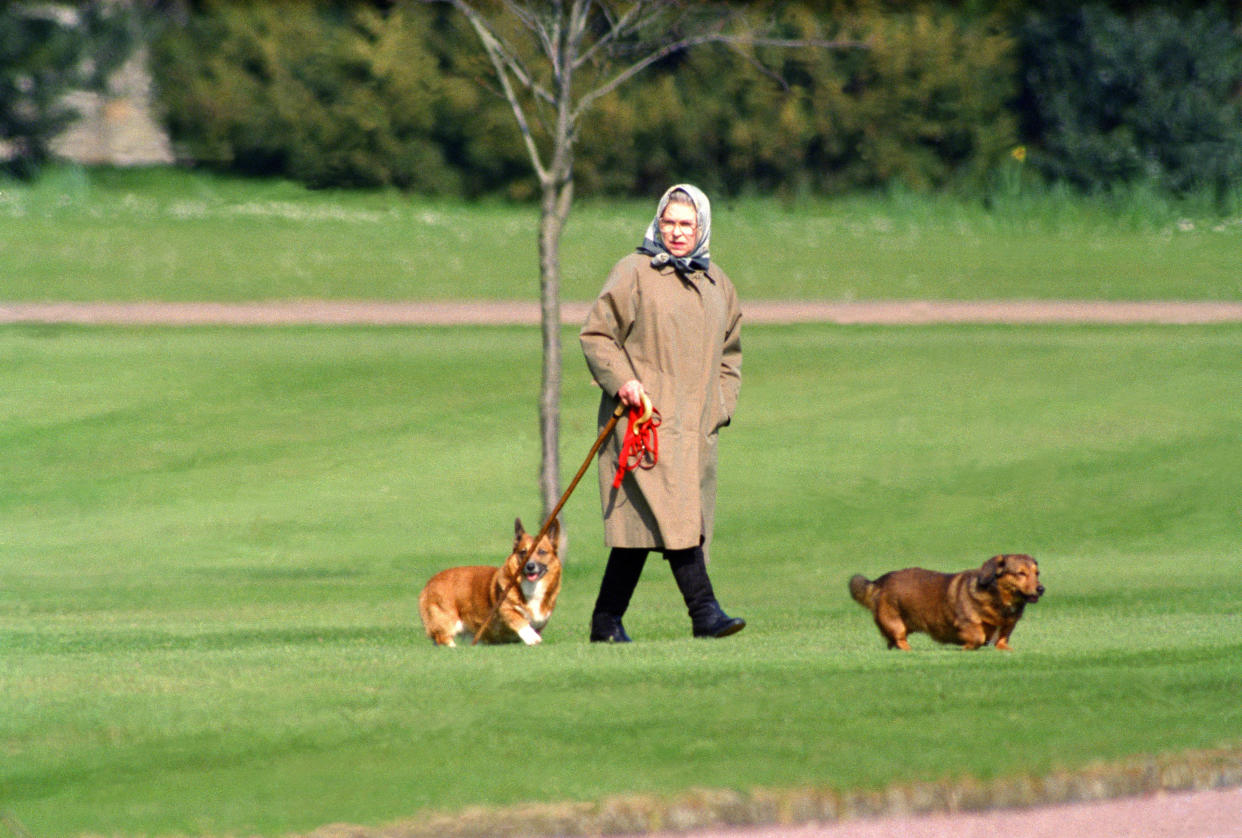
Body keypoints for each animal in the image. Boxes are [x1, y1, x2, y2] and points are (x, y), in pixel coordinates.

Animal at [417, 518, 563, 650]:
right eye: (523, 552)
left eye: (542, 551)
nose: (530, 566)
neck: (532, 588)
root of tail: (429, 583)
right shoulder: (505, 609)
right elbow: (518, 619)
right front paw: (531, 637)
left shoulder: (541, 620)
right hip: (448, 620)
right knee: (442, 638)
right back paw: (454, 648)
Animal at [849, 553, 1043, 650]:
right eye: (1021, 573)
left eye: (1037, 573)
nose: (1041, 589)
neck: (999, 600)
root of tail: (880, 581)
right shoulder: (966, 622)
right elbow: (978, 636)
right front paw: (967, 647)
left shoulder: (1007, 626)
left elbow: (1002, 641)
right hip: (896, 625)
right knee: (899, 640)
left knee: (892, 643)